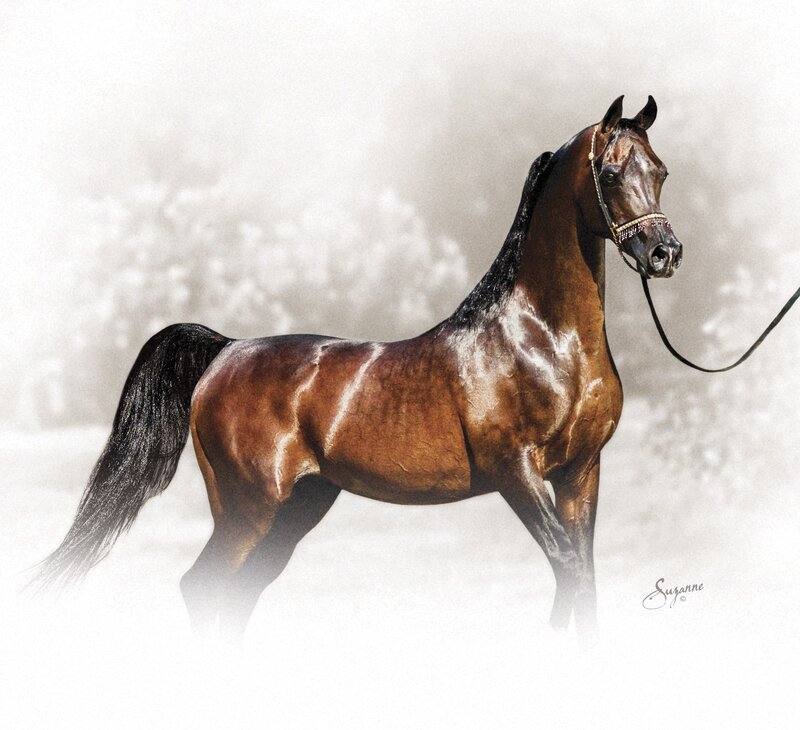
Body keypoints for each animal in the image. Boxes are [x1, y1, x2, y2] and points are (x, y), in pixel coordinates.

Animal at [37, 95, 682, 643]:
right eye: (610, 173)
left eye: (660, 171)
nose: (665, 253)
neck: (543, 341)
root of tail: (225, 350)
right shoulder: (517, 473)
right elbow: (567, 569)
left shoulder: (581, 472)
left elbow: (585, 581)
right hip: (248, 508)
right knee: (203, 588)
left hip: (296, 507)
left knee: (236, 594)